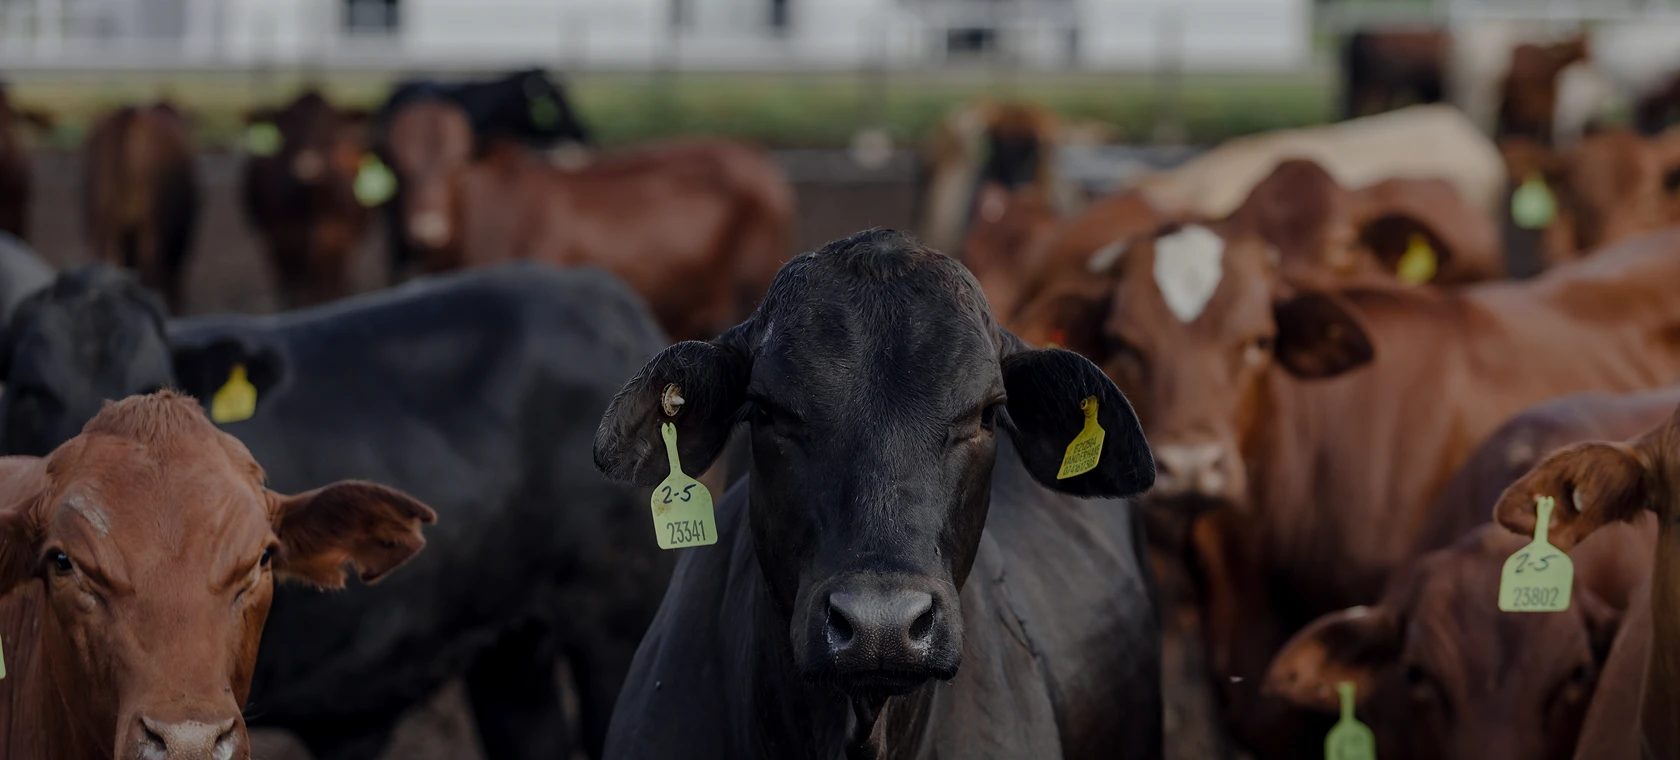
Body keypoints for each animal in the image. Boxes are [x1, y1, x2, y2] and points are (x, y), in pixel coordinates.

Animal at [241, 91, 378, 307]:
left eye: (330, 132)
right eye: (288, 134)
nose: (308, 165)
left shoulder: (338, 242)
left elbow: (330, 288)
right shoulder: (282, 239)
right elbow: (295, 292)